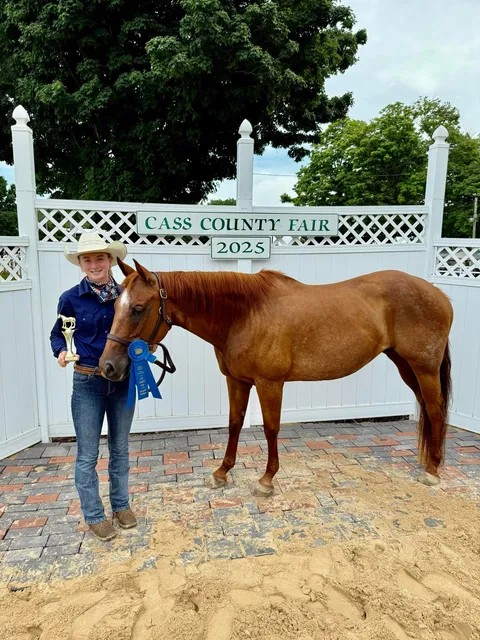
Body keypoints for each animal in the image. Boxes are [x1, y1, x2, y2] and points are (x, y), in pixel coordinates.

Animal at [99, 261, 453, 495]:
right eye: (115, 305)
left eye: (138, 308)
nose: (108, 367)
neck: (244, 314)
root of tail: (439, 295)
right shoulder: (237, 380)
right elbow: (235, 423)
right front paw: (222, 472)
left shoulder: (270, 383)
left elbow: (271, 428)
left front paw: (267, 479)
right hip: (405, 365)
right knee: (427, 409)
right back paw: (427, 461)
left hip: (423, 367)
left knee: (435, 410)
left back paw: (433, 470)